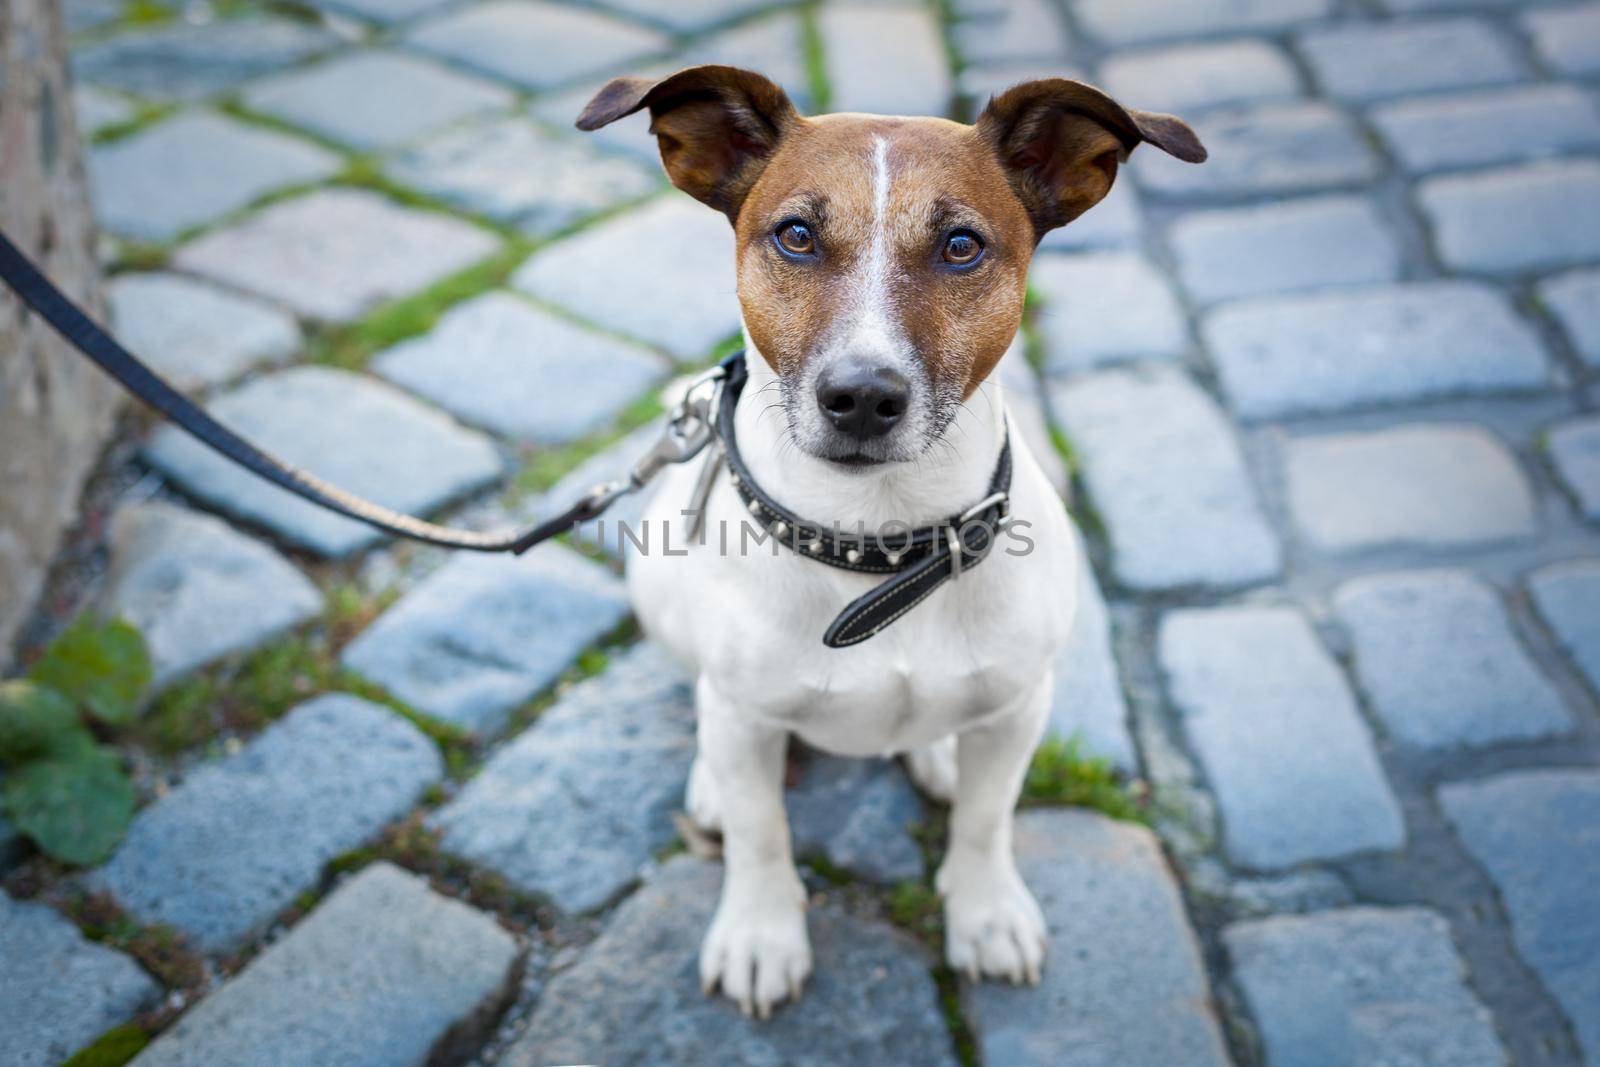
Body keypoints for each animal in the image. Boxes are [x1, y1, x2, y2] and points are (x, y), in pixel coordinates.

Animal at [576, 66, 1203, 1017]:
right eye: (796, 236)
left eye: (961, 246)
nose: (863, 396)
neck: (880, 548)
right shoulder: (747, 719)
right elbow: (761, 833)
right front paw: (760, 934)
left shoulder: (1021, 707)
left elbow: (985, 821)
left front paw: (986, 914)